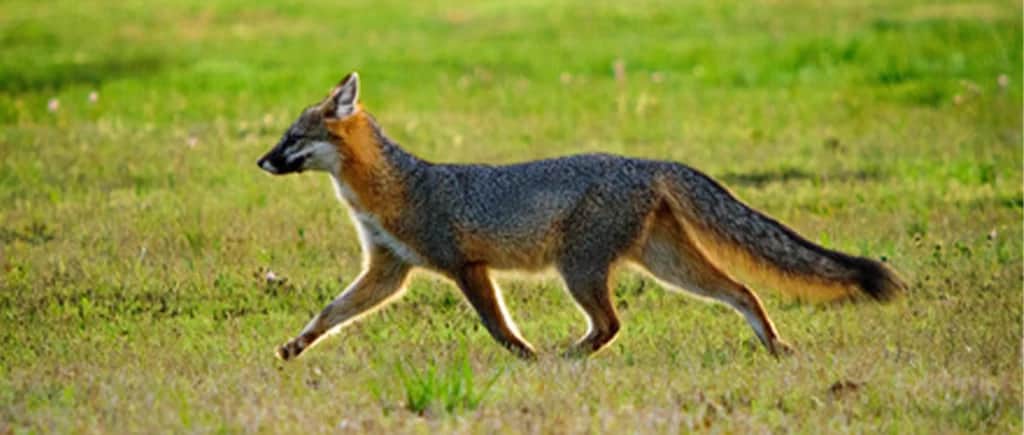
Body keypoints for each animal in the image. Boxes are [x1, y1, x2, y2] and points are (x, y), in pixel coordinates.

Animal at [257, 72, 906, 361]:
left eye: (291, 138)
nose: (260, 161)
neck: (394, 188)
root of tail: (646, 161)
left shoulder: (466, 266)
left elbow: (498, 326)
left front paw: (525, 358)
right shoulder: (387, 271)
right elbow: (329, 313)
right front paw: (293, 348)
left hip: (581, 270)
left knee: (611, 325)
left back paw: (566, 357)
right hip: (665, 265)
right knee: (742, 289)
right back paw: (774, 347)